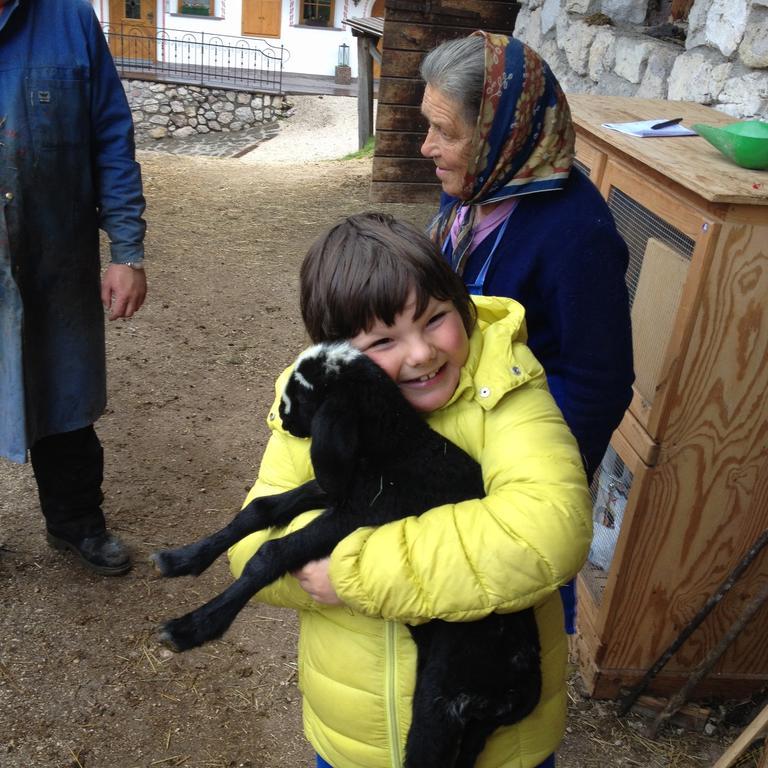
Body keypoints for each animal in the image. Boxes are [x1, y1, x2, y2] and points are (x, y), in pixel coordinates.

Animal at [153, 340, 544, 768]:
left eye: (303, 396)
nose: (283, 422)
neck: (396, 443)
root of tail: (521, 694)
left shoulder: (360, 512)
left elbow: (273, 553)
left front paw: (193, 627)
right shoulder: (339, 489)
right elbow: (261, 509)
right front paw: (181, 559)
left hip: (444, 703)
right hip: (472, 726)